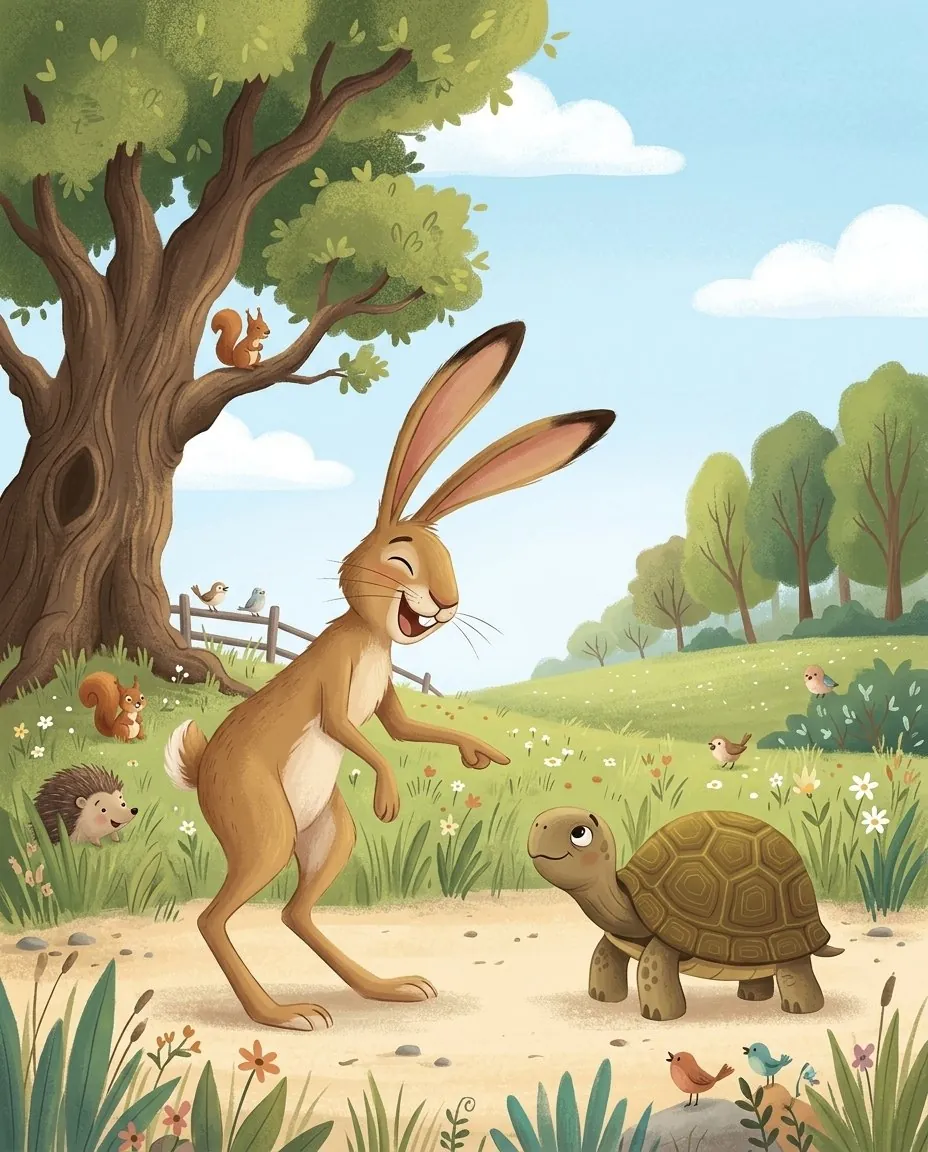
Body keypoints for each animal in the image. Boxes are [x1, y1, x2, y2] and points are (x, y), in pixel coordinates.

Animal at [163, 320, 615, 1031]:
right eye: (401, 560)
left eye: (450, 558)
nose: (448, 603)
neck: (375, 637)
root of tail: (199, 770)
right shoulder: (336, 685)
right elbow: (353, 732)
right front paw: (389, 796)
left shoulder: (388, 707)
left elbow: (402, 730)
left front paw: (480, 752)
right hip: (265, 827)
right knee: (215, 919)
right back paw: (281, 1014)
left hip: (327, 834)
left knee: (295, 912)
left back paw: (387, 989)